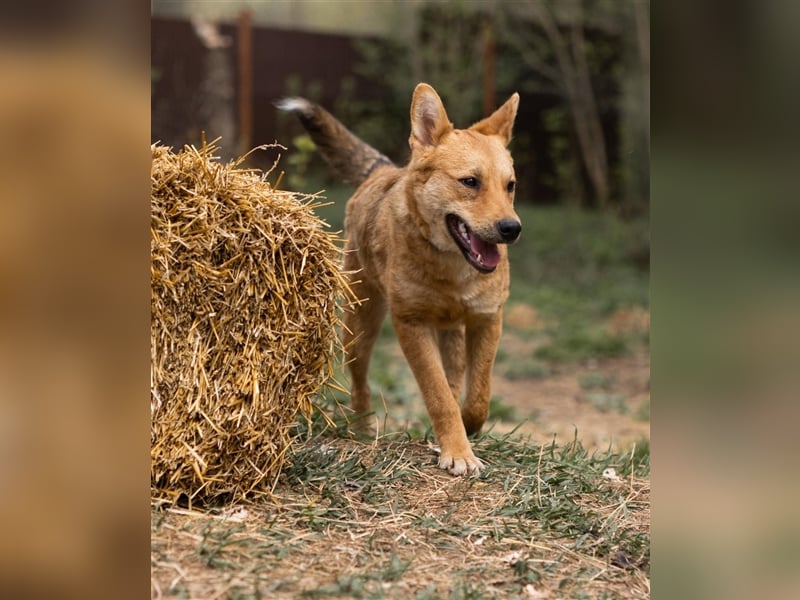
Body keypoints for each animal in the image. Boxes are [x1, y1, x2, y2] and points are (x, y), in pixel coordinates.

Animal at [278, 84, 520, 476]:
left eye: (510, 185)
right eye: (470, 182)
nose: (512, 229)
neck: (451, 269)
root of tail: (385, 170)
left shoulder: (487, 319)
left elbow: (478, 396)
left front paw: (463, 433)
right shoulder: (411, 323)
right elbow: (438, 396)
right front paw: (458, 450)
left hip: (450, 336)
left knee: (456, 380)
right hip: (359, 328)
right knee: (360, 384)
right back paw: (362, 430)